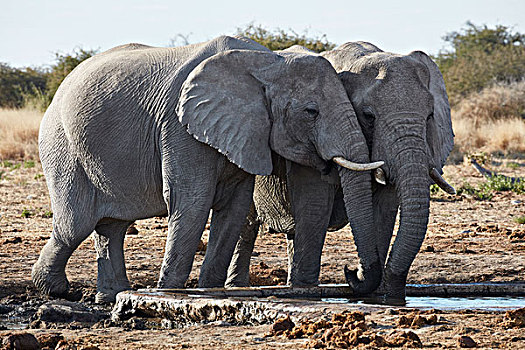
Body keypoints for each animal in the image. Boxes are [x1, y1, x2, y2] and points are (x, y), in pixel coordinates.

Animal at [31, 36, 380, 304]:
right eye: (311, 111)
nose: (351, 271)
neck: (267, 61)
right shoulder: (178, 126)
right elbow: (192, 202)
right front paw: (168, 293)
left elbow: (235, 208)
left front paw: (207, 291)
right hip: (62, 146)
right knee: (74, 225)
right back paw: (56, 290)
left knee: (111, 227)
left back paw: (109, 296)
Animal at [226, 41, 454, 304]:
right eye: (368, 116)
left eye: (429, 116)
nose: (350, 270)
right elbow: (314, 205)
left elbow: (384, 210)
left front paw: (380, 297)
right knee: (246, 226)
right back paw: (239, 287)